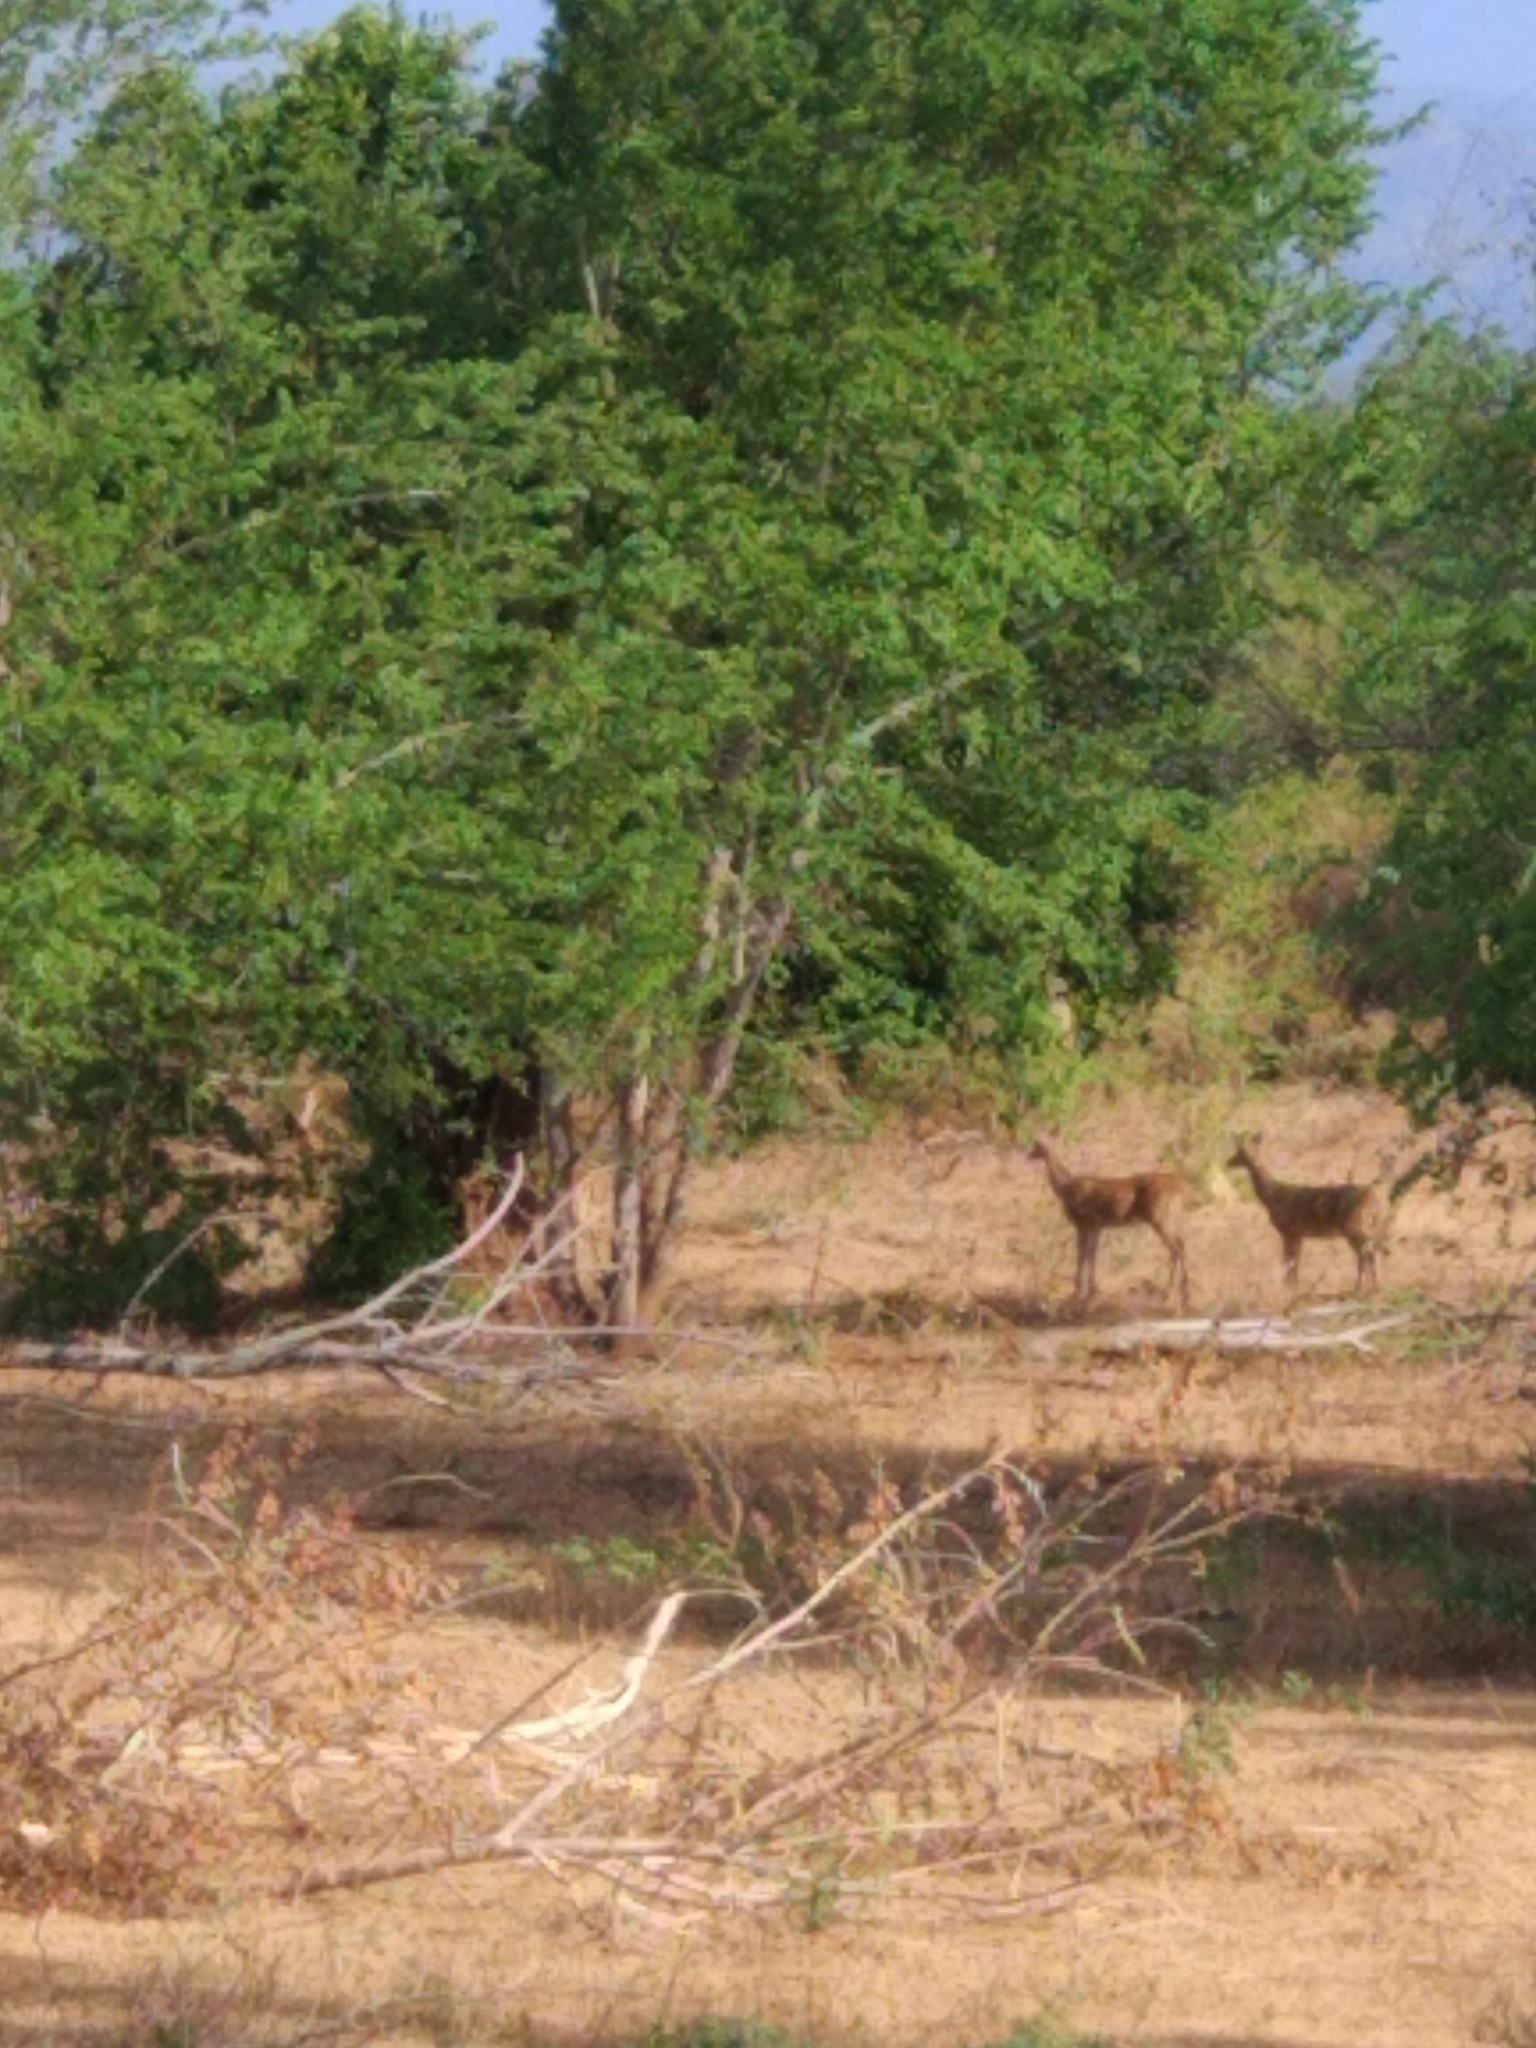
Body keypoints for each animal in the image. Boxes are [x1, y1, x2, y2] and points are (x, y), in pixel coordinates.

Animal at [1028, 1138, 1196, 1310]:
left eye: (1037, 1146)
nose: (1028, 1155)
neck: (1064, 1188)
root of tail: (1182, 1187)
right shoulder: (1096, 1226)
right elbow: (1091, 1255)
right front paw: (1091, 1291)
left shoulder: (1083, 1224)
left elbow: (1082, 1255)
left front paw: (1077, 1294)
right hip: (1173, 1218)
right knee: (1182, 1245)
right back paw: (1185, 1296)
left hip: (1160, 1218)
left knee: (1175, 1249)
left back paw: (1169, 1297)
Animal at [1228, 1138, 1392, 1294]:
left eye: (1239, 1152)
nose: (1228, 1162)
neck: (1272, 1197)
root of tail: (1373, 1198)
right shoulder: (1297, 1234)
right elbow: (1294, 1261)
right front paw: (1292, 1287)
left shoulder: (1288, 1230)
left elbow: (1289, 1261)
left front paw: (1289, 1288)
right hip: (1372, 1225)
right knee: (1374, 1250)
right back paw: (1375, 1286)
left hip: (1353, 1225)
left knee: (1365, 1252)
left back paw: (1359, 1287)